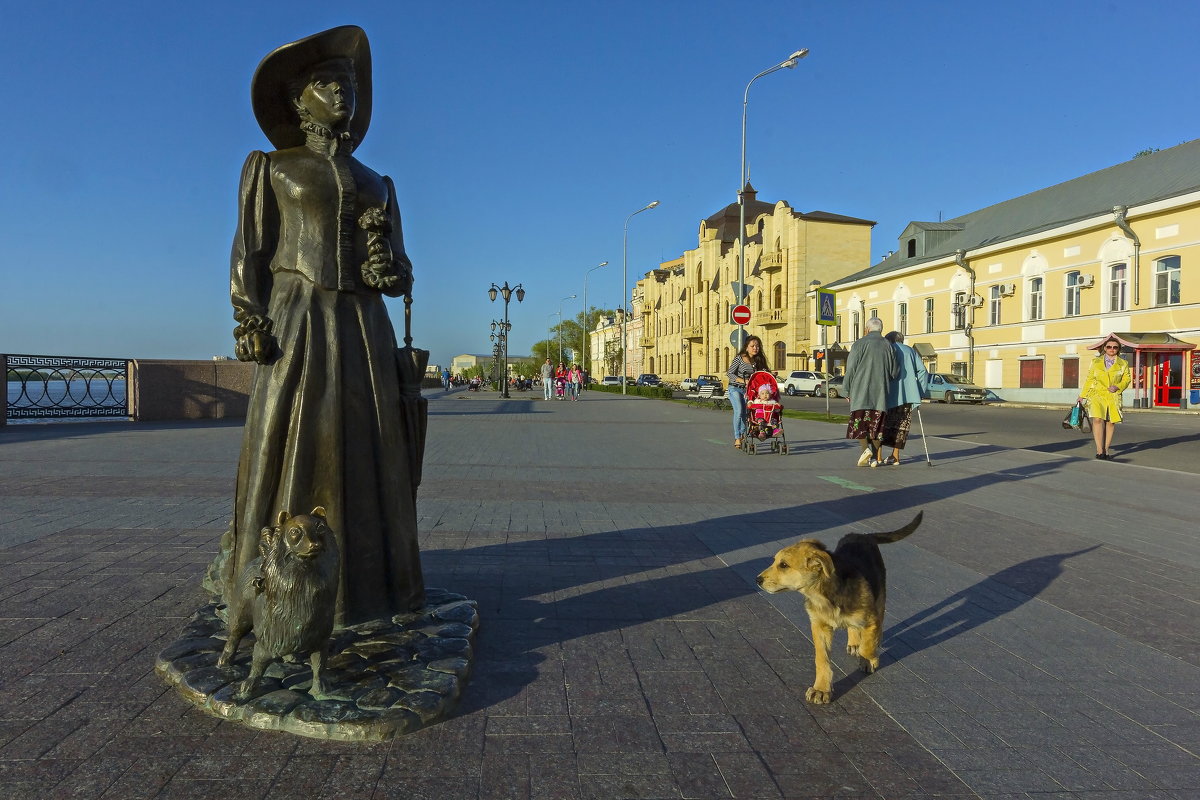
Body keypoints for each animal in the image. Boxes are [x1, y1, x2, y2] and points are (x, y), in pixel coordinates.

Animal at [218, 510, 340, 705]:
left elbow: (319, 666)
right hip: (241, 615)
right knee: (234, 636)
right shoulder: (267, 642)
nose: (314, 544)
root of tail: (256, 559)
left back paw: (290, 657)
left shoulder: (320, 642)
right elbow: (257, 666)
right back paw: (225, 660)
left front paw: (320, 689)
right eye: (295, 532)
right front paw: (248, 688)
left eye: (320, 528)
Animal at [753, 513, 921, 700]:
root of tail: (862, 535)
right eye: (775, 561)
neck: (822, 595)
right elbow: (821, 659)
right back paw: (854, 642)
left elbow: (867, 646)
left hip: (880, 594)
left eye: (783, 565)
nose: (757, 580)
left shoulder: (871, 620)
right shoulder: (819, 626)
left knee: (879, 620)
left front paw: (871, 660)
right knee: (854, 628)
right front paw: (821, 689)